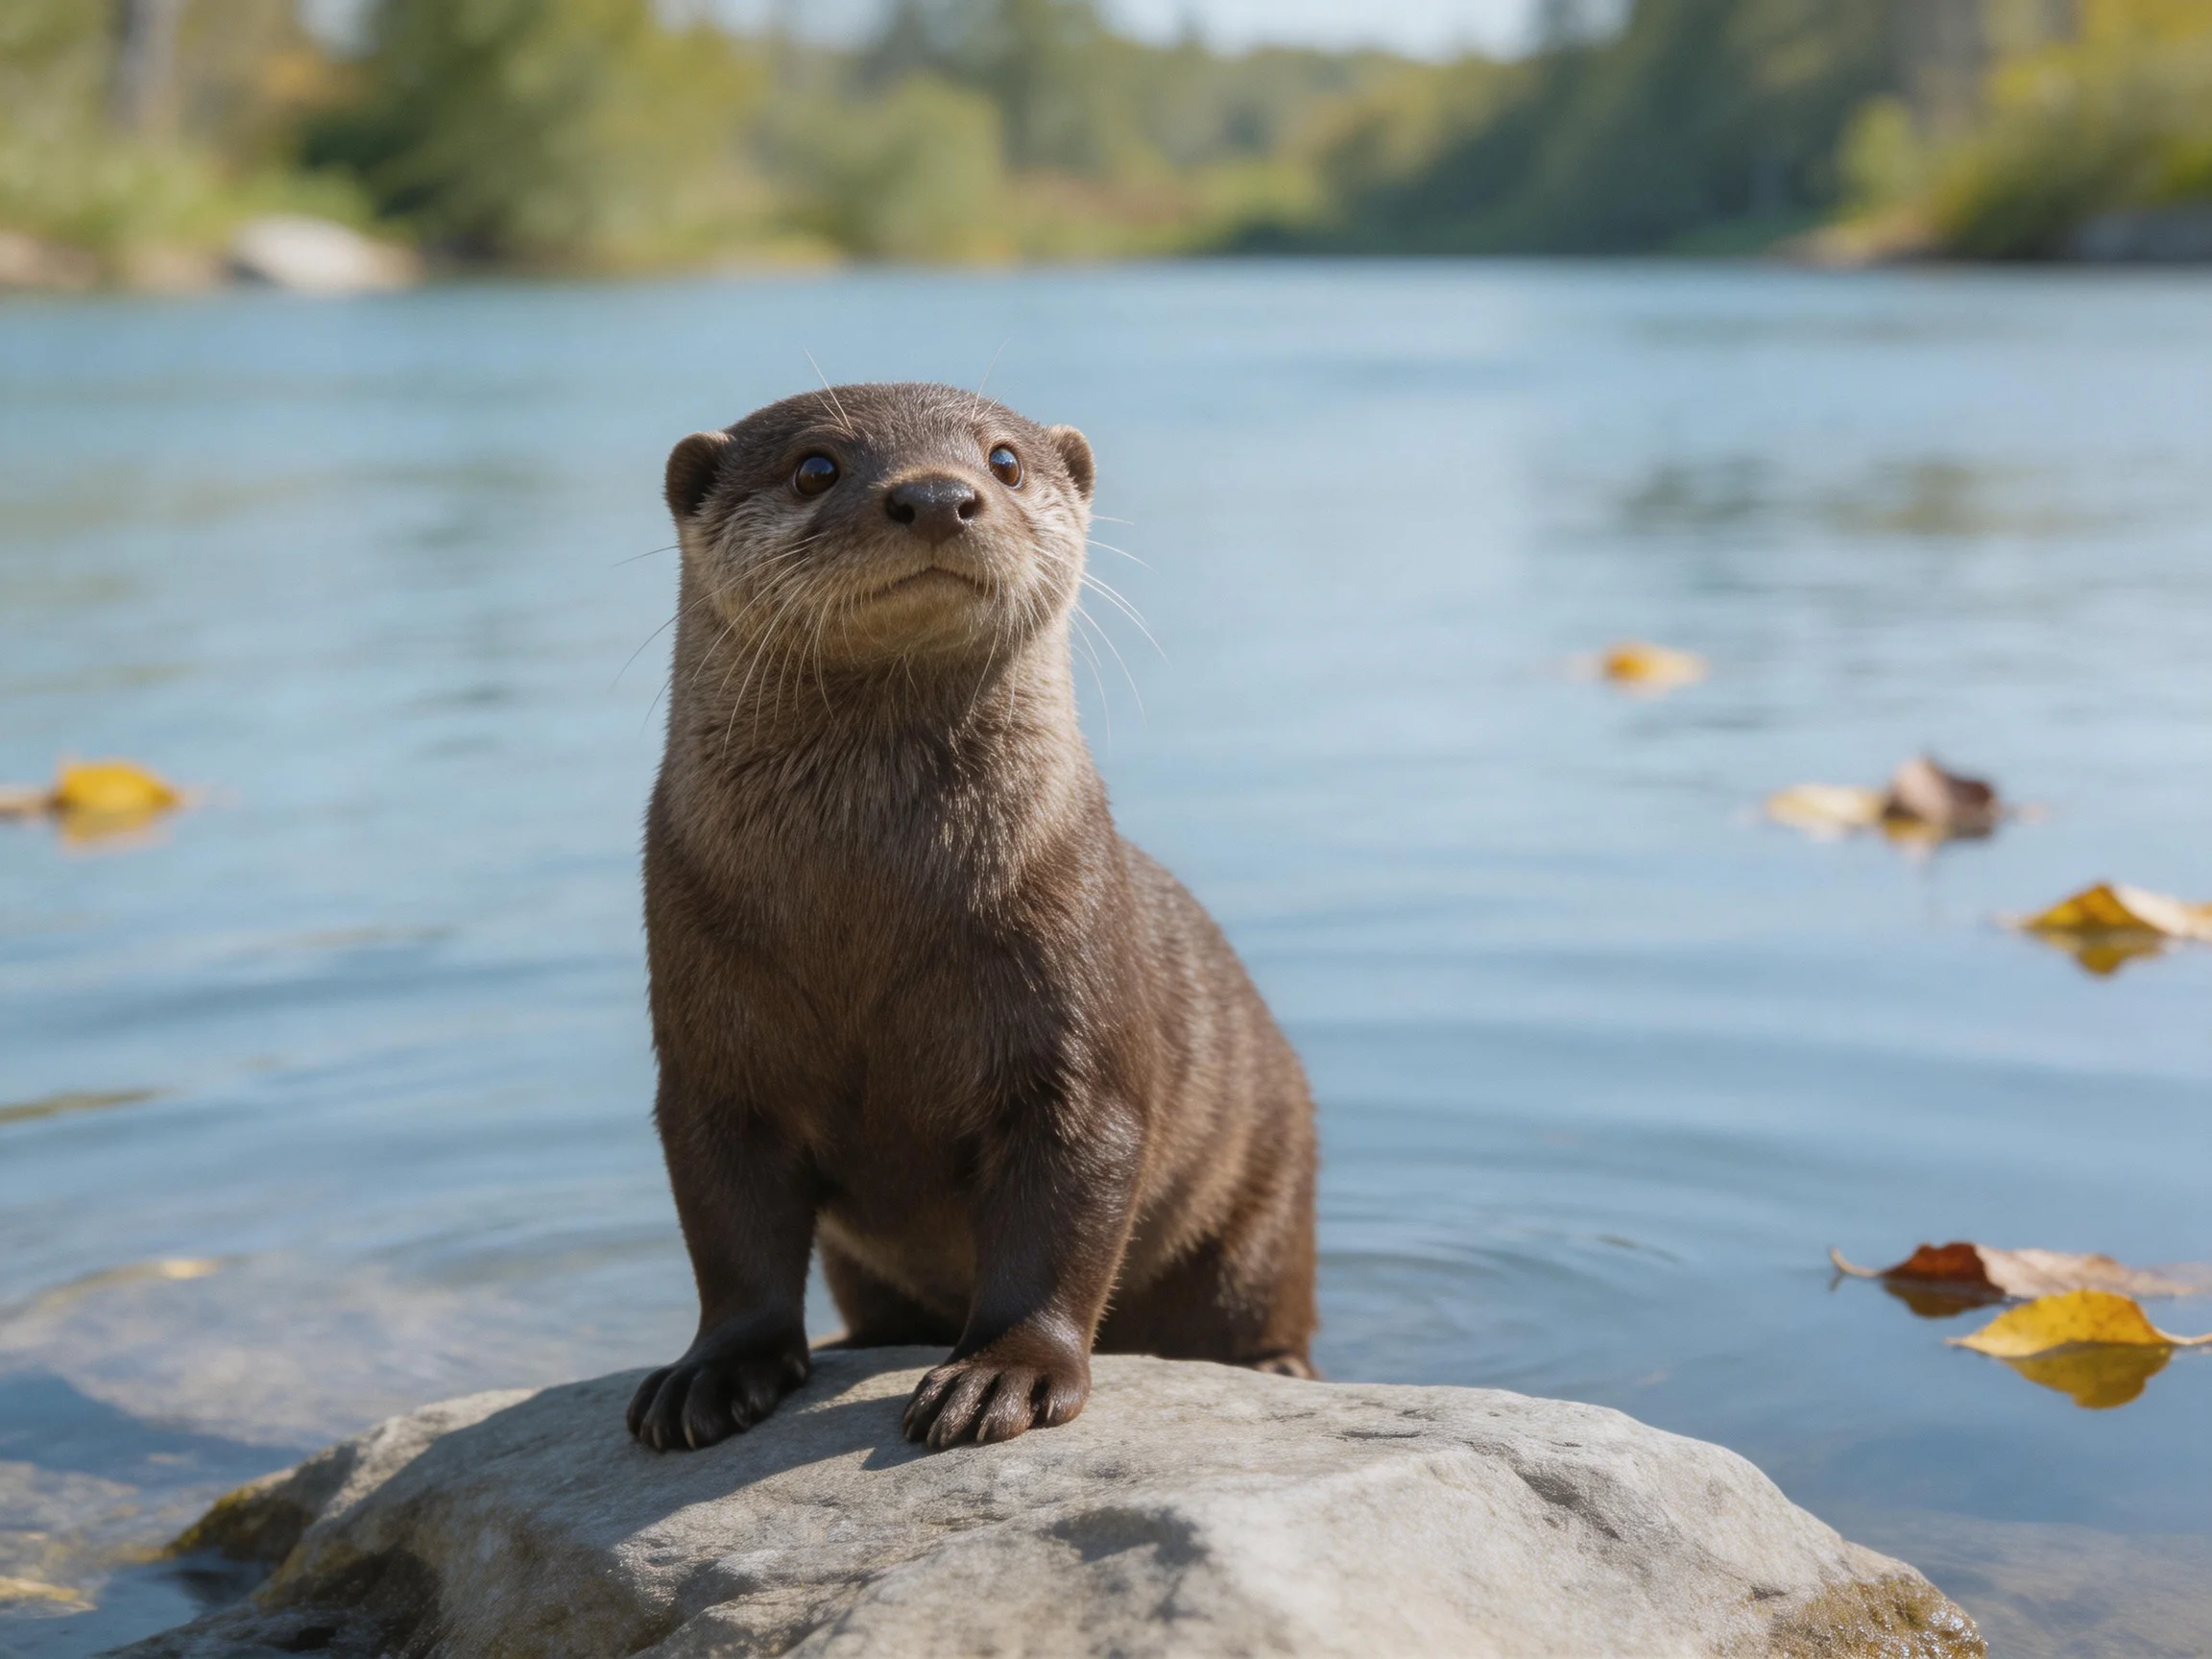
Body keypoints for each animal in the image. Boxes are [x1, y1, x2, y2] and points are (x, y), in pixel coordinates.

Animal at [627, 383, 1317, 1454]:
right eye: (815, 466)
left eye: (1003, 460)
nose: (937, 495)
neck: (867, 912)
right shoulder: (710, 1055)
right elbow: (729, 1234)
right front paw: (714, 1371)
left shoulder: (1074, 1034)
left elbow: (1062, 1214)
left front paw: (1003, 1375)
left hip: (1273, 1188)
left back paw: (1275, 1365)